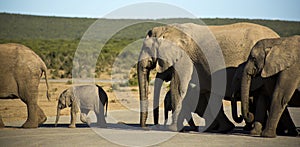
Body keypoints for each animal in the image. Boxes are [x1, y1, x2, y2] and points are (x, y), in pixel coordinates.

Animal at [138, 22, 278, 131]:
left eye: (147, 48)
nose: (146, 127)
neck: (168, 29)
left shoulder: (185, 58)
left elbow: (178, 87)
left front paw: (172, 129)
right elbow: (206, 94)